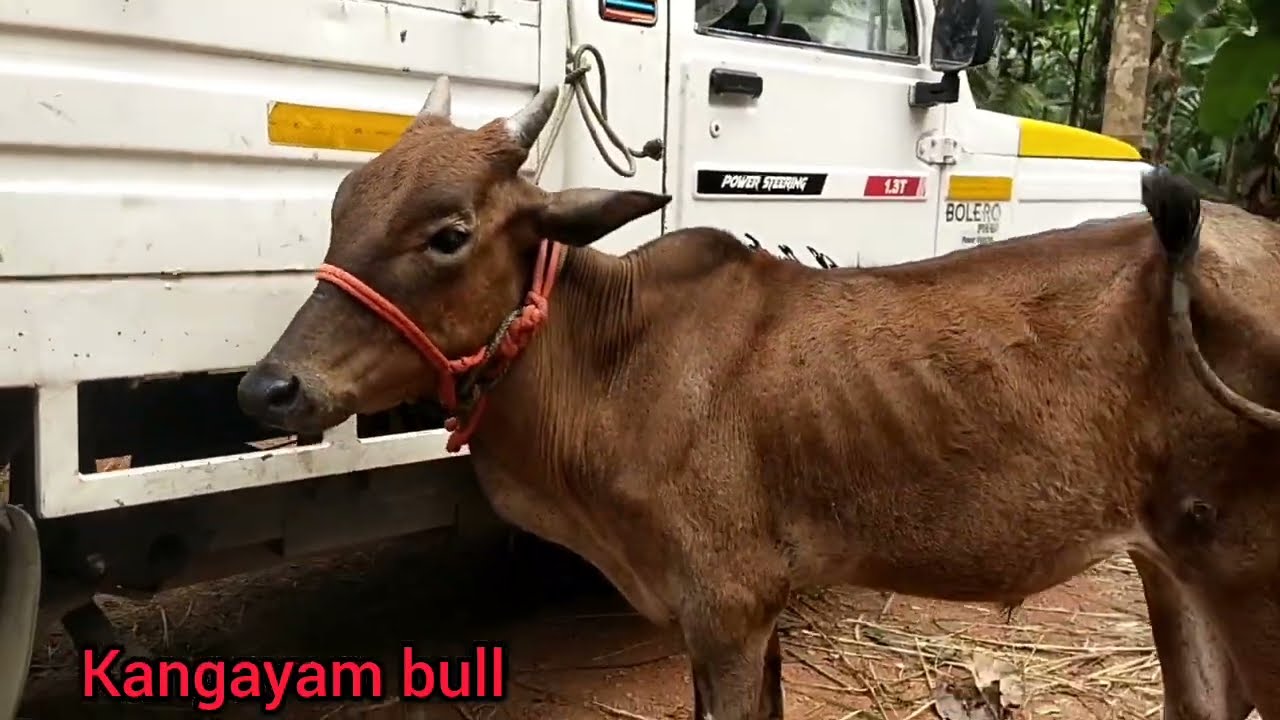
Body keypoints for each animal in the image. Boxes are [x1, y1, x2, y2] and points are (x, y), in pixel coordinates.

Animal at [237, 76, 1280, 720]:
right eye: (340, 209)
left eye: (449, 234)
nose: (270, 387)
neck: (611, 360)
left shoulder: (729, 610)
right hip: (1173, 568)